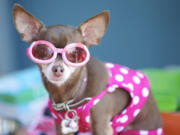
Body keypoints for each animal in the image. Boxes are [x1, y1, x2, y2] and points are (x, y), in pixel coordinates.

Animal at [13, 3, 164, 135]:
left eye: (75, 54)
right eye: (43, 52)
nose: (58, 69)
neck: (68, 98)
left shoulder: (101, 126)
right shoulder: (62, 127)